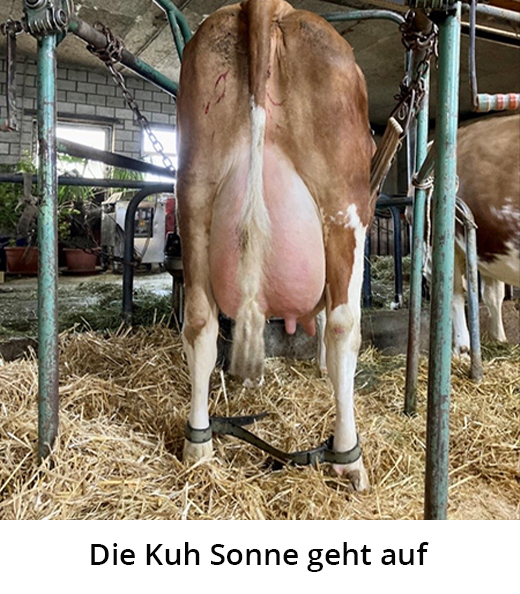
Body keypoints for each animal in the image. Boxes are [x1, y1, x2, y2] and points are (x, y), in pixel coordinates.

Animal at [176, 0, 375, 490]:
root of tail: (272, 7)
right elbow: (328, 319)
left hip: (195, 193)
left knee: (201, 322)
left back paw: (199, 447)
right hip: (343, 204)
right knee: (344, 325)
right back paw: (348, 458)